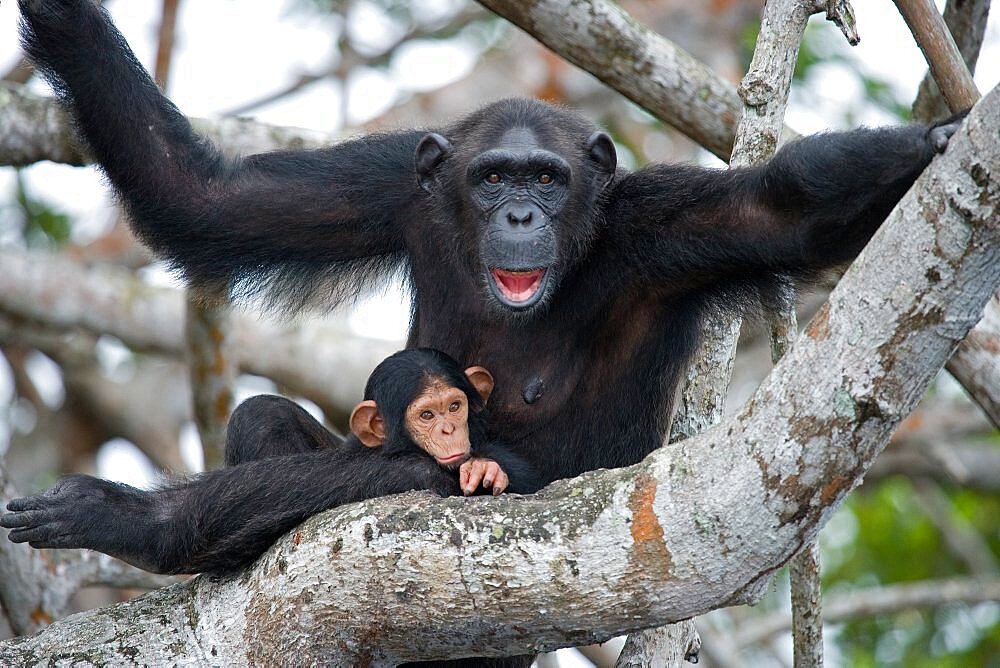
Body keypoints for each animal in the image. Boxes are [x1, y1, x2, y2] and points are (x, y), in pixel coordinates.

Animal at [1, 350, 540, 576]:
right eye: (427, 414)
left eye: (456, 406)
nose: (449, 430)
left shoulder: (419, 471)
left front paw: (111, 516)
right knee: (260, 412)